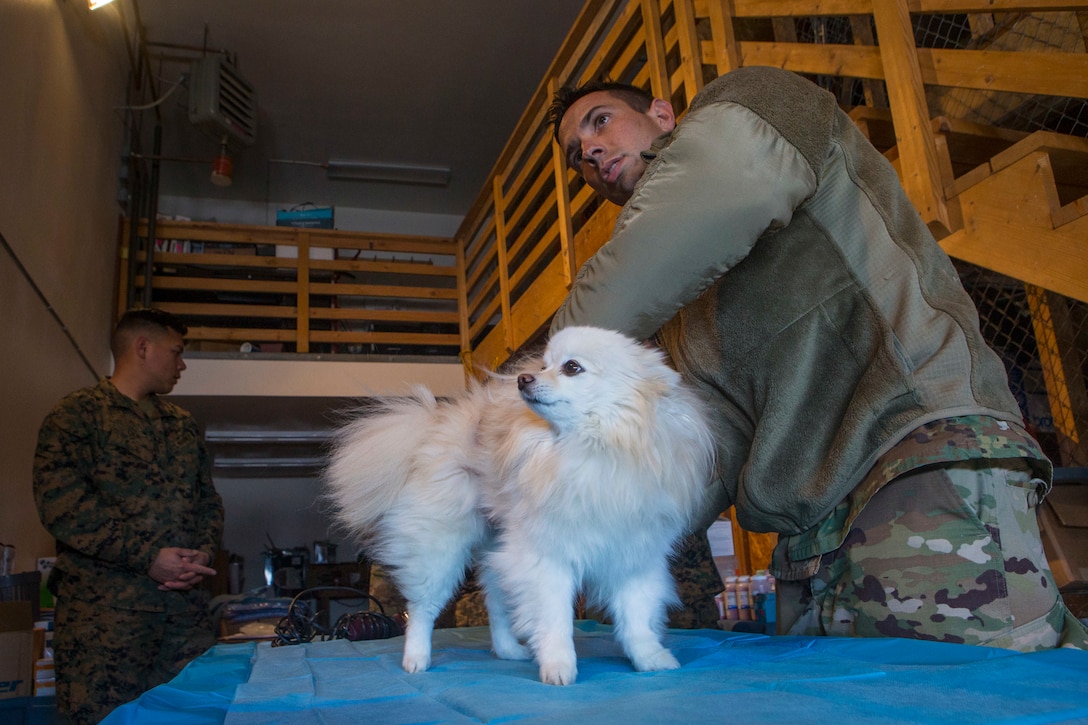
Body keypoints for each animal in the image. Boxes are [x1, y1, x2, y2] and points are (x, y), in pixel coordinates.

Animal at [324, 324, 713, 679]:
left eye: (572, 367)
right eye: (543, 365)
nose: (524, 378)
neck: (594, 449)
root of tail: (434, 428)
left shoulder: (634, 557)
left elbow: (637, 618)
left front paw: (650, 658)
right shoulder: (546, 558)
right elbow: (556, 620)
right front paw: (559, 666)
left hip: (499, 551)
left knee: (496, 606)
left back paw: (508, 650)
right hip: (439, 548)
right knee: (423, 608)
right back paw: (416, 659)